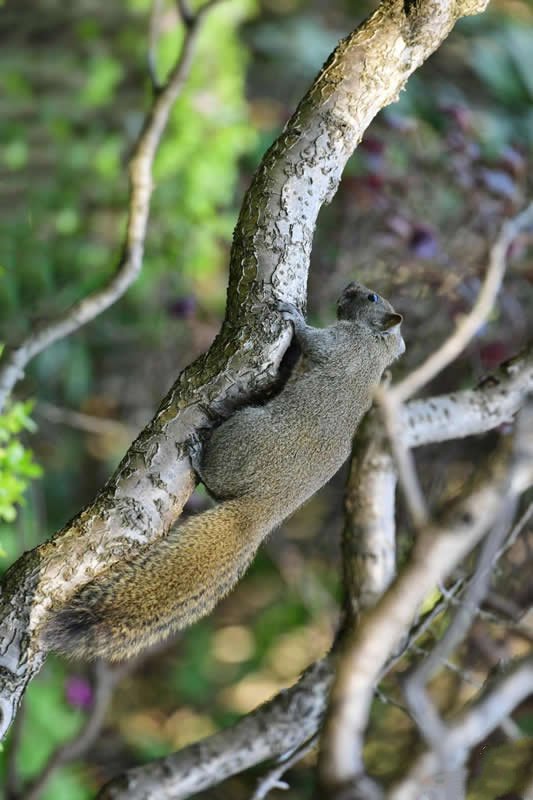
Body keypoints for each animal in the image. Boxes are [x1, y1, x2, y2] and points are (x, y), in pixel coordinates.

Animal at [43, 282, 406, 664]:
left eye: (371, 298)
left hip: (242, 431)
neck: (377, 344)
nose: (351, 286)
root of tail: (261, 512)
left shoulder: (340, 346)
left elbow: (311, 339)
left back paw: (198, 457)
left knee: (213, 478)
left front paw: (293, 315)